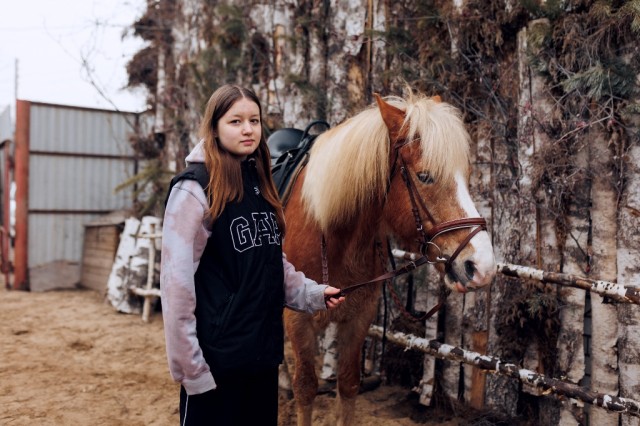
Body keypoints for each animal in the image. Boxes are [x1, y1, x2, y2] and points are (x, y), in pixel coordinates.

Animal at [282, 91, 498, 424]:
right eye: (424, 176)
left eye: (467, 175)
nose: (482, 267)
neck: (331, 236)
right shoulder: (298, 321)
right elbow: (305, 389)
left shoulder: (359, 317)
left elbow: (348, 385)